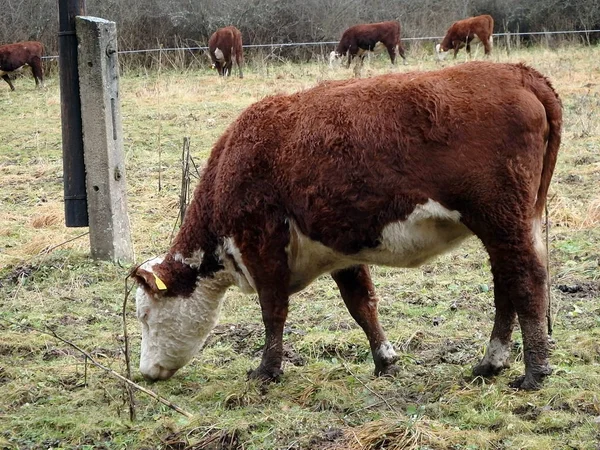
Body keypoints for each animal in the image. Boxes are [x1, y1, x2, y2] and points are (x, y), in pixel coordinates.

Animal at [132, 61, 564, 392]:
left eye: (145, 316)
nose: (145, 372)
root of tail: (520, 73)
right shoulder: (341, 252)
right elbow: (361, 304)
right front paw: (385, 360)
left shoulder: (262, 244)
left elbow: (273, 312)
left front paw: (267, 370)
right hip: (510, 225)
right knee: (506, 283)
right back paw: (492, 363)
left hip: (501, 220)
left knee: (525, 281)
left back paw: (534, 372)